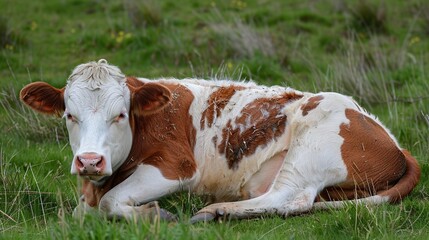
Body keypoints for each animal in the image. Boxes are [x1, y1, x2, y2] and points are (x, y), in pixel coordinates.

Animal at [20, 59, 418, 221]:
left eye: (119, 115)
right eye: (69, 115)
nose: (89, 161)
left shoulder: (176, 167)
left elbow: (110, 202)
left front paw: (156, 213)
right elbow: (81, 210)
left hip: (312, 147)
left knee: (291, 198)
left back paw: (216, 211)